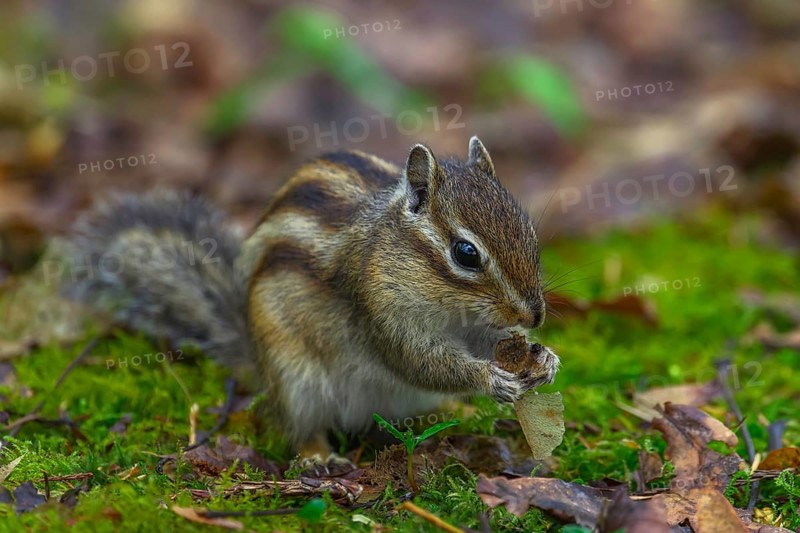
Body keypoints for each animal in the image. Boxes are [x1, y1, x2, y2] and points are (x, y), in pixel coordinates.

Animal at [65, 136, 559, 457]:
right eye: (465, 253)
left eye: (530, 234)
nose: (534, 316)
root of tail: (255, 360)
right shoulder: (377, 308)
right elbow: (415, 360)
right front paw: (490, 380)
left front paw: (543, 357)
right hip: (293, 380)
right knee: (298, 426)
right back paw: (316, 456)